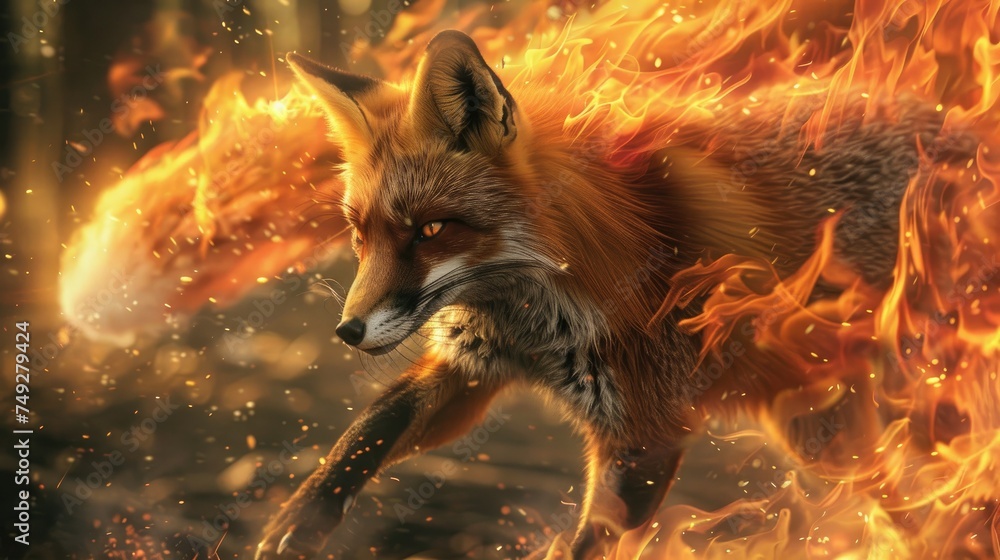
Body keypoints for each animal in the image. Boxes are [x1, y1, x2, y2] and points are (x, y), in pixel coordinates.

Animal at [254, 29, 973, 559]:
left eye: (430, 230)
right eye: (360, 232)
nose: (347, 331)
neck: (538, 318)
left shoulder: (646, 432)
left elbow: (588, 542)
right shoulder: (473, 368)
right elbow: (371, 428)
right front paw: (299, 522)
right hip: (822, 433)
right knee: (903, 507)